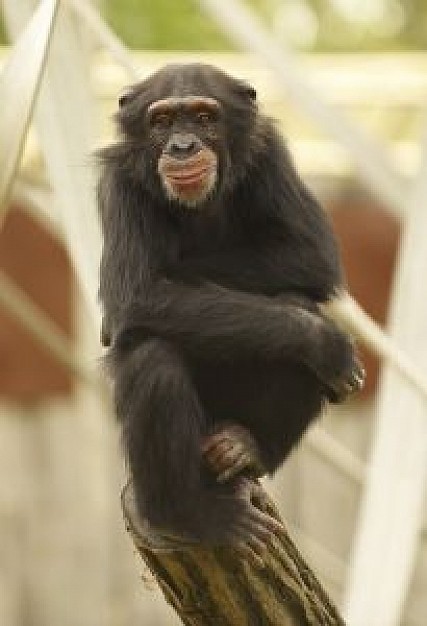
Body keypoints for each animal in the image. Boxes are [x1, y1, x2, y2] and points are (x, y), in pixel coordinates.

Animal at [98, 63, 364, 560]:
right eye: (162, 121)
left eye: (204, 116)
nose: (183, 145)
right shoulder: (117, 185)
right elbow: (139, 294)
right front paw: (327, 342)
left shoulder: (272, 155)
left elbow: (308, 252)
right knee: (154, 360)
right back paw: (190, 515)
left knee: (296, 302)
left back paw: (248, 446)